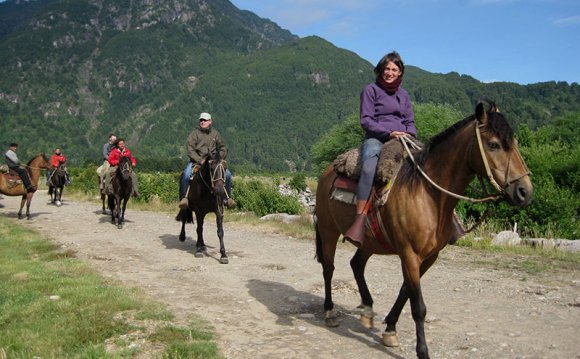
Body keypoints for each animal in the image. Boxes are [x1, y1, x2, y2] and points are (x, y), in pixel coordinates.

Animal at [314, 102, 532, 358]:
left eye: (514, 142)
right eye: (494, 144)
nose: (524, 191)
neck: (426, 194)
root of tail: (328, 172)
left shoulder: (429, 257)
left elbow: (405, 292)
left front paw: (390, 329)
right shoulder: (409, 254)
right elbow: (418, 306)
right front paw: (422, 350)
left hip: (369, 241)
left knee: (356, 264)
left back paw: (367, 310)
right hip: (328, 231)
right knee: (329, 268)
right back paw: (329, 312)